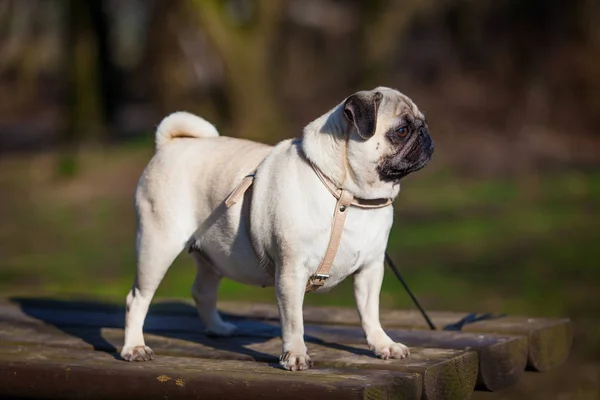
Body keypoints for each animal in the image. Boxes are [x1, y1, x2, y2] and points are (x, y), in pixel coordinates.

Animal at [120, 86, 432, 370]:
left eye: (422, 123)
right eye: (402, 130)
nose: (426, 136)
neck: (347, 195)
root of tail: (169, 146)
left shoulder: (370, 268)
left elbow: (370, 313)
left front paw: (382, 344)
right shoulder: (291, 271)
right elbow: (294, 321)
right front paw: (295, 355)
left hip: (213, 254)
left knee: (202, 291)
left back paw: (218, 329)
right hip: (157, 246)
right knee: (137, 299)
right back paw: (134, 348)